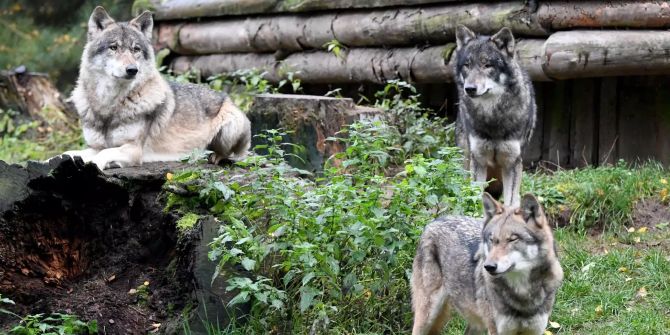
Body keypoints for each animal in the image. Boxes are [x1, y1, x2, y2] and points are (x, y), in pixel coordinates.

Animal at [61, 7, 252, 171]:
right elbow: (68, 153)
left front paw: (96, 164)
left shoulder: (133, 149)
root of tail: (227, 97)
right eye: (113, 47)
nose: (132, 70)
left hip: (230, 127)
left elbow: (103, 154)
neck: (109, 105)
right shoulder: (95, 146)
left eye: (136, 49)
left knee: (235, 155)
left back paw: (214, 156)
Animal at [412, 194, 564, 335]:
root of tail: (435, 220)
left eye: (512, 239)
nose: (489, 266)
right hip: (427, 315)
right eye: (492, 239)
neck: (522, 294)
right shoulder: (496, 330)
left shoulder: (535, 330)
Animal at [454, 25, 540, 209]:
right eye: (467, 65)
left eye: (487, 65)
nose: (469, 89)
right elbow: (477, 198)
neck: (492, 116)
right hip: (466, 159)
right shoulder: (478, 160)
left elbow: (510, 203)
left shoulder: (512, 163)